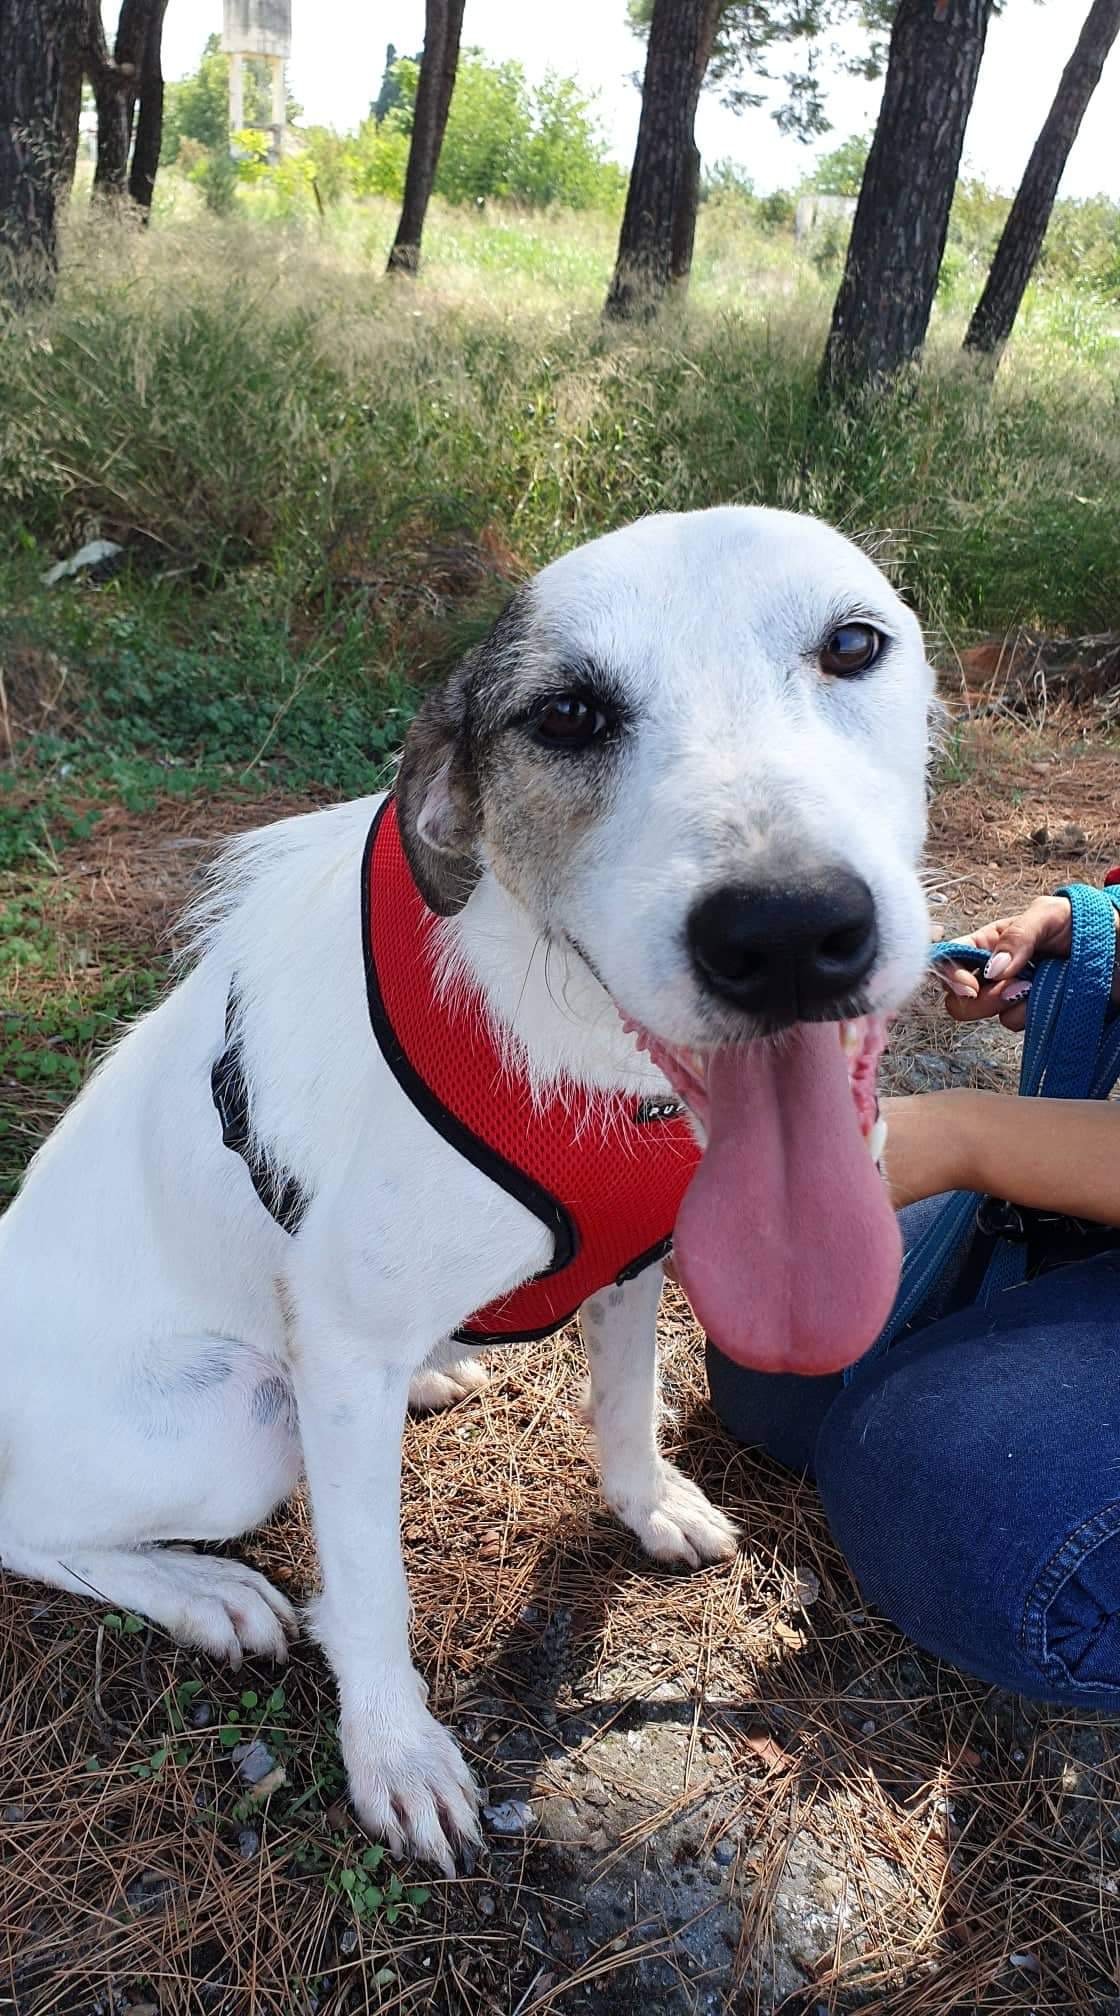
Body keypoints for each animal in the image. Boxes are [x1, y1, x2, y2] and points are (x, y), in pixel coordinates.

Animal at [0, 507, 934, 1872]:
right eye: (567, 715)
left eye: (853, 644)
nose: (787, 935)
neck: (580, 1046)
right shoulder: (338, 1356)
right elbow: (370, 1591)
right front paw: (394, 1754)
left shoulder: (639, 1266)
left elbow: (625, 1408)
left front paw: (647, 1506)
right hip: (239, 1423)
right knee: (28, 1526)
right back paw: (203, 1592)